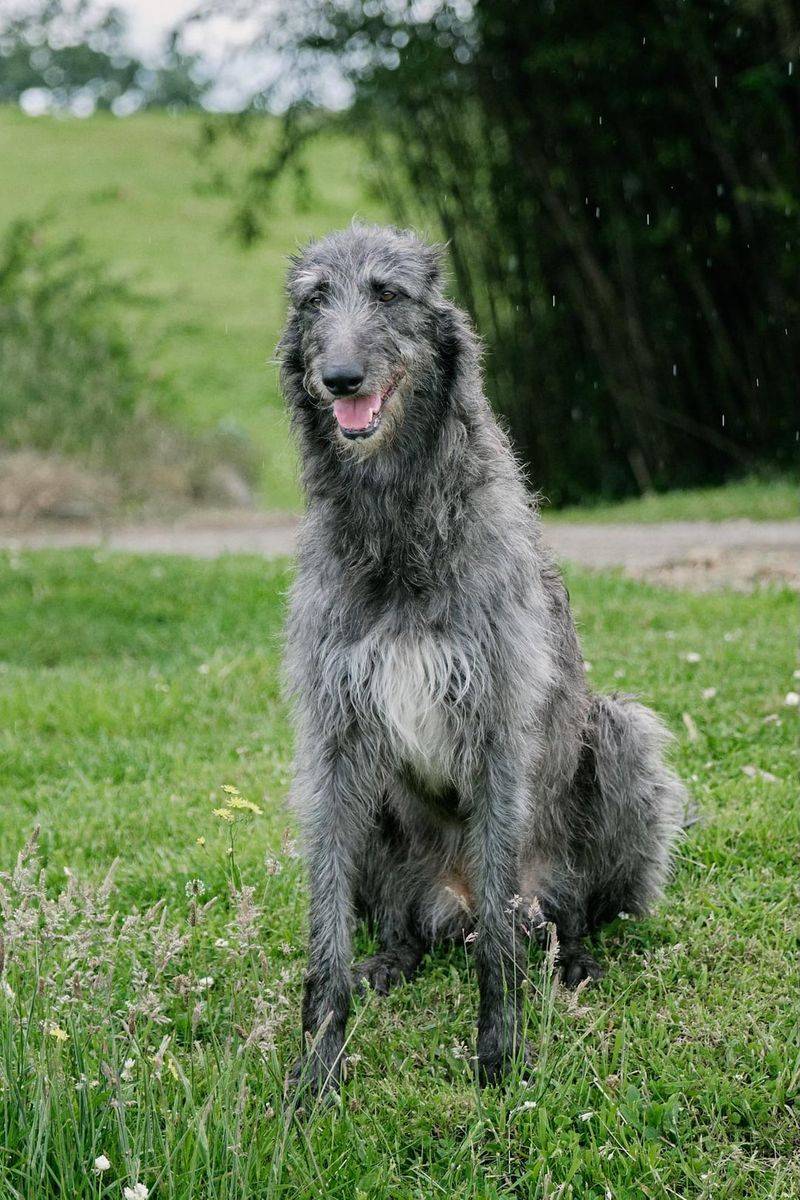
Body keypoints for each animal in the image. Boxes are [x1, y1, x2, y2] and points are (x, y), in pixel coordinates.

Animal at [278, 225, 686, 1099]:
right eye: (314, 298)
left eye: (389, 293)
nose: (340, 378)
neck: (396, 520)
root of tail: (454, 905)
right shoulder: (333, 737)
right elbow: (323, 933)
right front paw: (318, 1067)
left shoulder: (499, 724)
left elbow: (501, 953)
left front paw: (499, 1055)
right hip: (384, 829)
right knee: (406, 924)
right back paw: (390, 960)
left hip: (615, 748)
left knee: (564, 910)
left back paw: (575, 955)